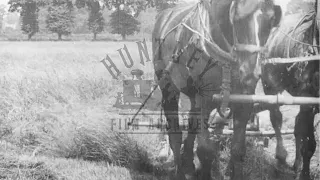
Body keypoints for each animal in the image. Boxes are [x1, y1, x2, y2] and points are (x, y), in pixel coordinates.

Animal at [151, 0, 282, 179]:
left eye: (271, 20)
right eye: (237, 18)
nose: (250, 72)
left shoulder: (243, 102)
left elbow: (238, 150)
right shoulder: (204, 101)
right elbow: (205, 150)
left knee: (191, 122)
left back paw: (188, 164)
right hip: (168, 86)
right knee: (175, 134)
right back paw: (179, 170)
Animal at [258, 5, 318, 180]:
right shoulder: (308, 100)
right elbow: (309, 144)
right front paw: (305, 175)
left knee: (297, 125)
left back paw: (296, 163)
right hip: (270, 85)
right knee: (276, 117)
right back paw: (281, 154)